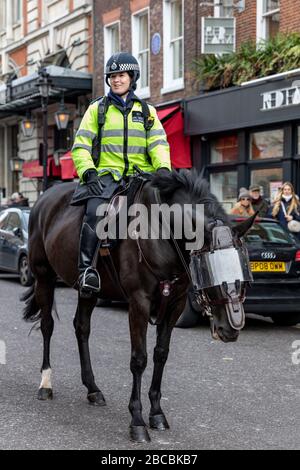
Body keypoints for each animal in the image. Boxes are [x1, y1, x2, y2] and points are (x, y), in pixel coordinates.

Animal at [22, 171, 254, 442]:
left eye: (244, 268)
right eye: (209, 270)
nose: (230, 329)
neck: (162, 232)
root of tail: (44, 197)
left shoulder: (174, 305)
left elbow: (161, 355)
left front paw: (156, 413)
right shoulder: (139, 303)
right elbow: (139, 359)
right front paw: (137, 421)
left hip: (88, 291)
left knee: (81, 328)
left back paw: (93, 389)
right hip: (44, 276)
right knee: (47, 325)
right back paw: (46, 383)